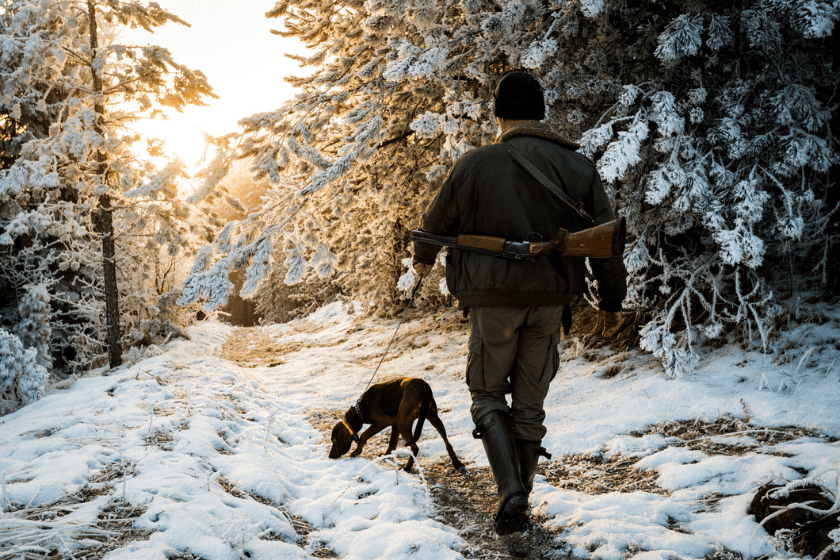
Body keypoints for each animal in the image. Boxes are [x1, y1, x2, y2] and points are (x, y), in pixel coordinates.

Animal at [330, 376, 466, 472]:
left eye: (334, 440)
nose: (330, 456)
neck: (360, 409)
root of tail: (423, 390)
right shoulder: (394, 424)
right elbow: (392, 442)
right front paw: (386, 454)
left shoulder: (383, 421)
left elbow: (363, 435)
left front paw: (356, 451)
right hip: (433, 418)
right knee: (447, 443)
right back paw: (457, 464)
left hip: (404, 423)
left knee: (415, 448)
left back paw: (407, 468)